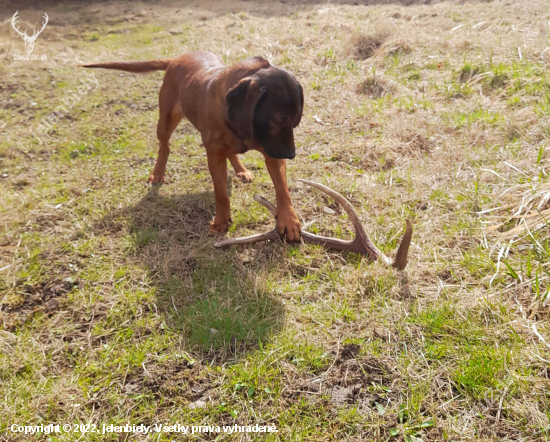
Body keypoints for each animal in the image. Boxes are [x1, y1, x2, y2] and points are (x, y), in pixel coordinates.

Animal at [82, 51, 304, 242]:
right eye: (277, 120)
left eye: (295, 120)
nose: (291, 154)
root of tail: (177, 57)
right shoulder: (216, 156)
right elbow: (221, 194)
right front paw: (221, 222)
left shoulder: (271, 152)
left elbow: (282, 189)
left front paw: (289, 220)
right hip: (166, 120)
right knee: (164, 146)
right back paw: (158, 172)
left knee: (231, 153)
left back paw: (241, 170)